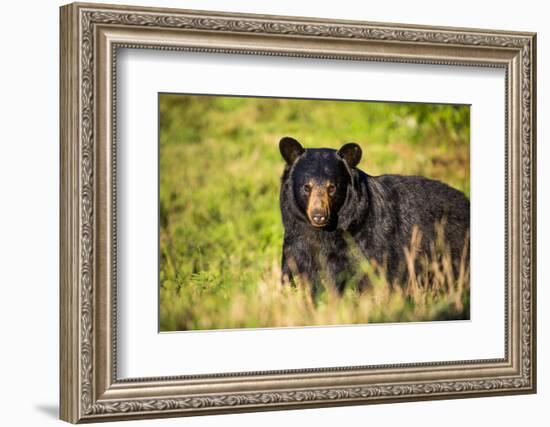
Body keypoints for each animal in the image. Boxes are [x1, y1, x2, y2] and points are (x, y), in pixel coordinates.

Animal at [280, 136, 470, 294]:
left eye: (332, 187)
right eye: (306, 187)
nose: (318, 215)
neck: (325, 232)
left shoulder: (365, 241)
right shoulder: (296, 240)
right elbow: (295, 271)